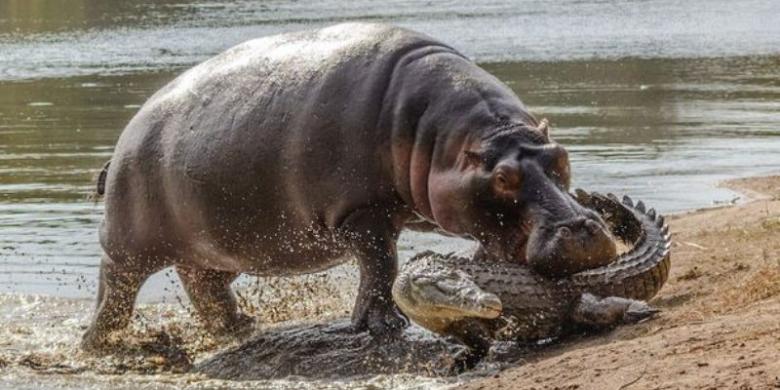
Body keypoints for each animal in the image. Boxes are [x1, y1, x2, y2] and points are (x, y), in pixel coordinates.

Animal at [79, 22, 616, 348]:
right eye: (503, 177)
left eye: (561, 157)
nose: (584, 228)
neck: (440, 138)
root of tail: (122, 141)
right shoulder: (361, 212)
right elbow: (380, 266)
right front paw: (384, 326)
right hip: (130, 243)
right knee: (116, 286)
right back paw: (101, 345)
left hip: (215, 246)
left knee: (203, 284)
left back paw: (242, 327)